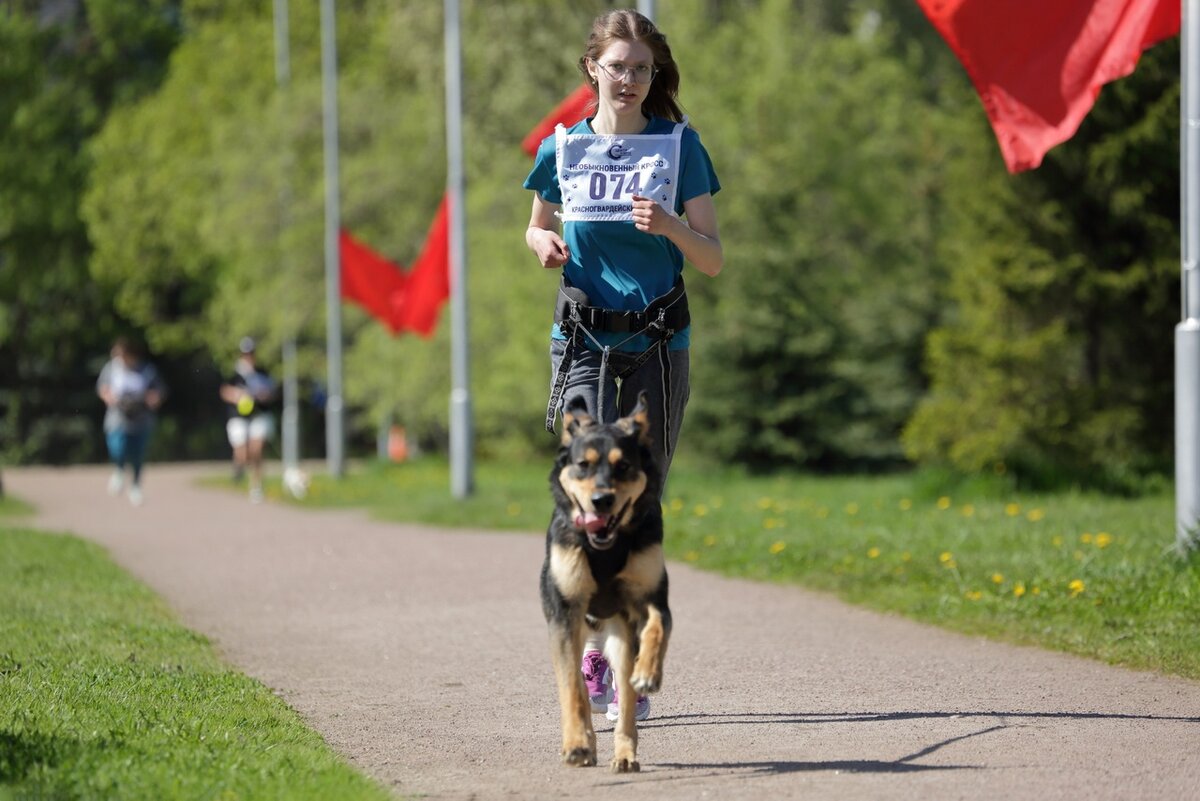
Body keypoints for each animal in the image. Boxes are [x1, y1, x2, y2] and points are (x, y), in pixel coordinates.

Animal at [540, 390, 672, 772]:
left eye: (623, 466)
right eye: (583, 465)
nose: (601, 500)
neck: (605, 548)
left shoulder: (651, 598)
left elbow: (657, 626)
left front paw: (649, 674)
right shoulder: (564, 613)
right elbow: (572, 689)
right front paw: (577, 745)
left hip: (620, 634)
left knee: (625, 695)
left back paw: (625, 753)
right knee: (580, 687)